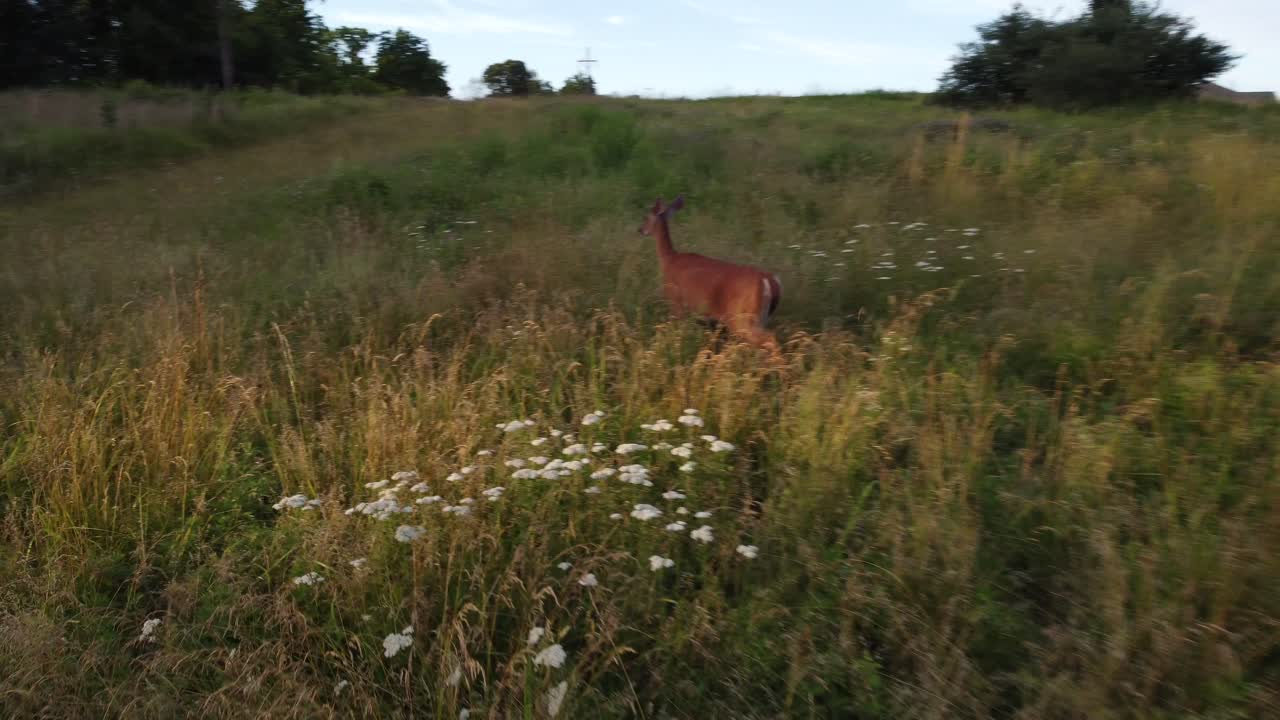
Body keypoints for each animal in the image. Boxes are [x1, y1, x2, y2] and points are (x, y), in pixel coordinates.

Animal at [639, 196, 782, 354]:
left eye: (646, 216)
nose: (640, 230)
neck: (669, 259)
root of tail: (767, 279)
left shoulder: (675, 301)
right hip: (760, 317)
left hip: (742, 317)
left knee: (769, 338)